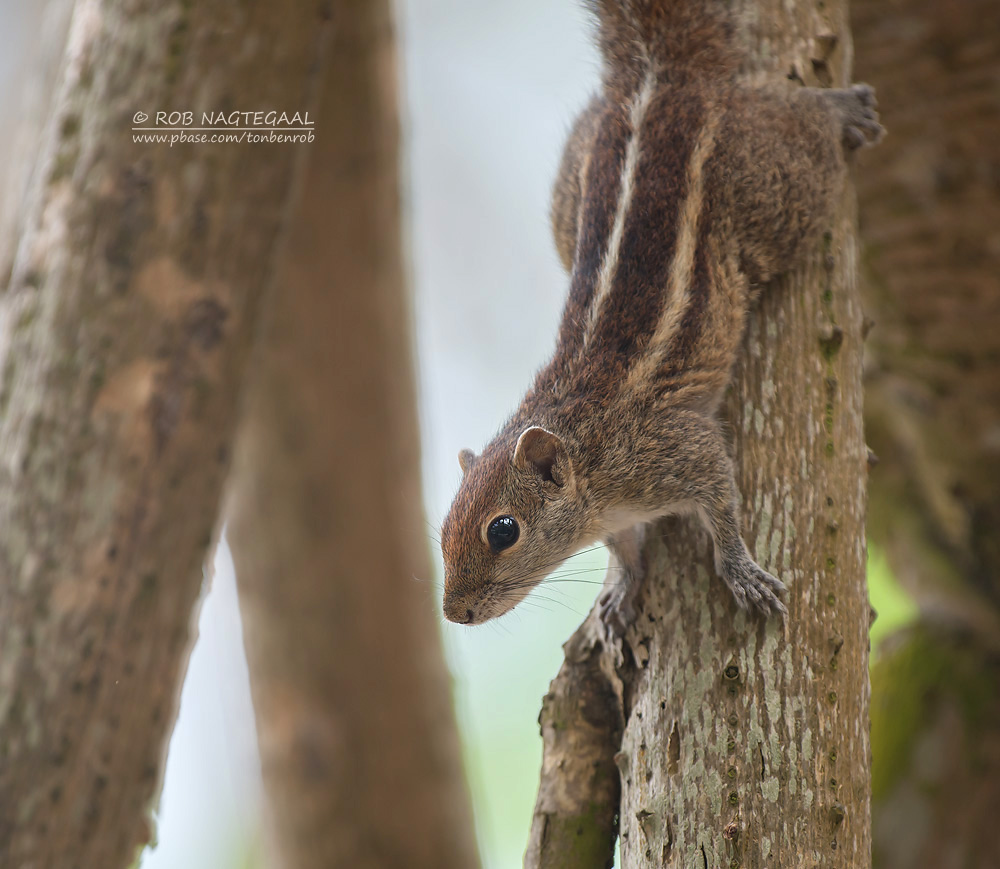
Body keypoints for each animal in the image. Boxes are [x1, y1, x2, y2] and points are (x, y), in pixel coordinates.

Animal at [442, 0, 880, 628]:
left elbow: (720, 498)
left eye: (503, 530)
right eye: (444, 527)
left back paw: (840, 107)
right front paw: (624, 584)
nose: (455, 612)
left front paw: (741, 570)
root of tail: (660, 82)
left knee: (806, 132)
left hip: (780, 188)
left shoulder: (674, 449)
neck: (591, 459)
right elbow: (626, 548)